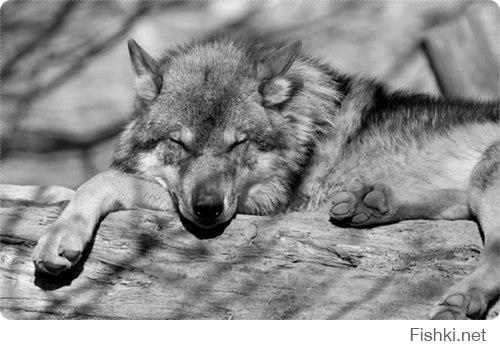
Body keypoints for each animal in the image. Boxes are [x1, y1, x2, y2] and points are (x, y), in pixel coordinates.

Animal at [33, 35, 498, 320]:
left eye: (238, 144)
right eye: (180, 144)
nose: (207, 209)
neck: (303, 132)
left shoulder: (262, 205)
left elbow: (105, 178)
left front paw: (60, 237)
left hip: (487, 177)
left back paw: (463, 298)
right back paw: (370, 203)